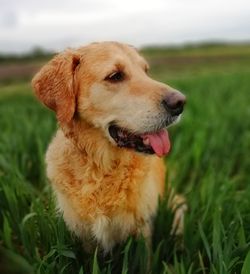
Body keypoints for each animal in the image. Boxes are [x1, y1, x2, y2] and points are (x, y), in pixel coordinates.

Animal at [31, 41, 186, 253]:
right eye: (115, 76)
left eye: (145, 71)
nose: (180, 102)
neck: (102, 167)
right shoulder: (83, 235)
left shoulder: (143, 227)